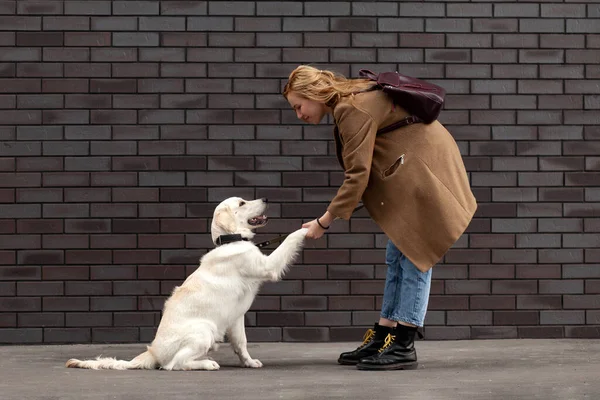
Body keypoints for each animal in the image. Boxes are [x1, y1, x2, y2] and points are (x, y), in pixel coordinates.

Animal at [65, 198, 308, 372]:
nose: (266, 198)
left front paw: (249, 362)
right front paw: (309, 227)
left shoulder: (236, 317)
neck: (231, 240)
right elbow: (290, 238)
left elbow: (241, 343)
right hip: (203, 330)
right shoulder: (268, 266)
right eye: (242, 203)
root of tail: (152, 353)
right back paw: (207, 363)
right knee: (173, 365)